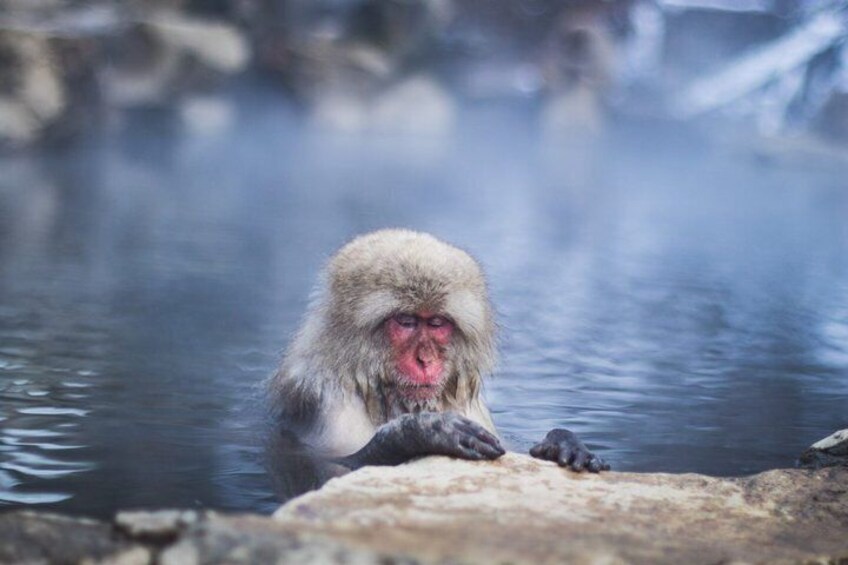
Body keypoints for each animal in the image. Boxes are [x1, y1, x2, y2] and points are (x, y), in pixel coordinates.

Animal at [268, 229, 609, 477]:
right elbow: (336, 462)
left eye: (436, 323)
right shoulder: (330, 402)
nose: (425, 360)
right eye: (406, 321)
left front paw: (561, 441)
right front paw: (424, 431)